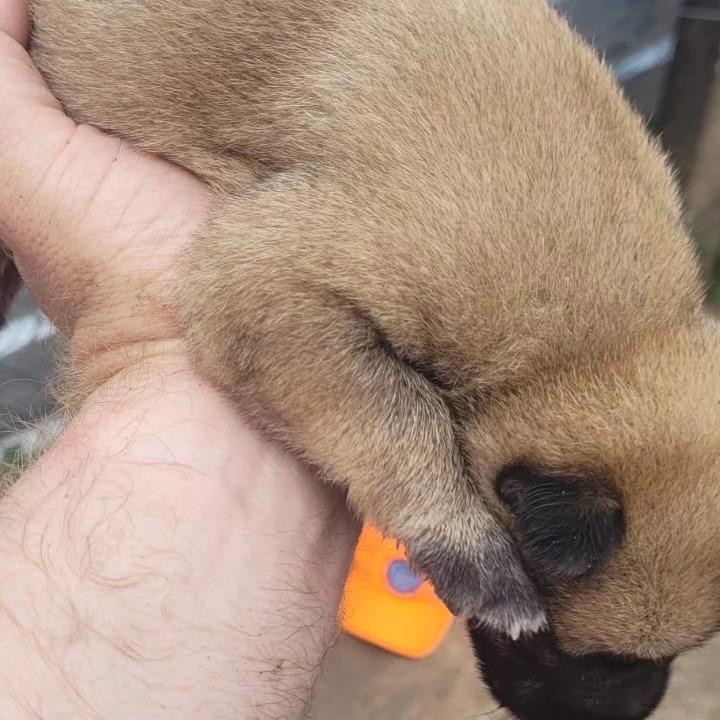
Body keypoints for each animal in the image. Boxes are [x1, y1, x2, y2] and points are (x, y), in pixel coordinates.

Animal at [25, 1, 720, 720]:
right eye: (579, 653)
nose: (635, 711)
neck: (596, 347)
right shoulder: (275, 284)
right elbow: (400, 413)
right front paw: (472, 552)